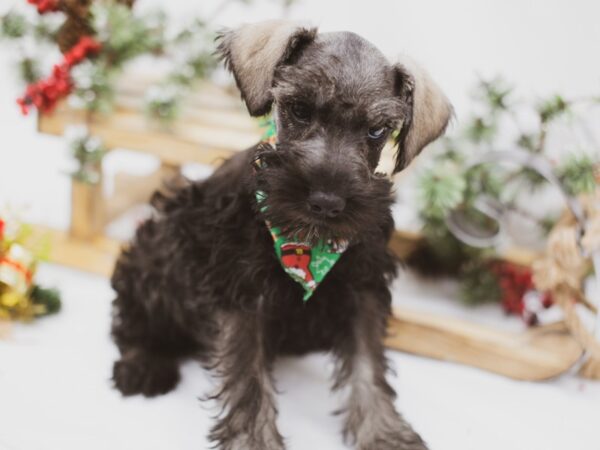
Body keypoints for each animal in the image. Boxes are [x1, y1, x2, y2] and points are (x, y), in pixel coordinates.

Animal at [111, 19, 450, 448]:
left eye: (377, 131)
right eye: (300, 109)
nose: (326, 201)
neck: (307, 247)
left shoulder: (364, 290)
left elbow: (367, 365)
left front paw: (385, 433)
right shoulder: (241, 295)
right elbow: (248, 379)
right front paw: (254, 440)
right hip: (155, 254)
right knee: (133, 319)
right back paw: (142, 365)